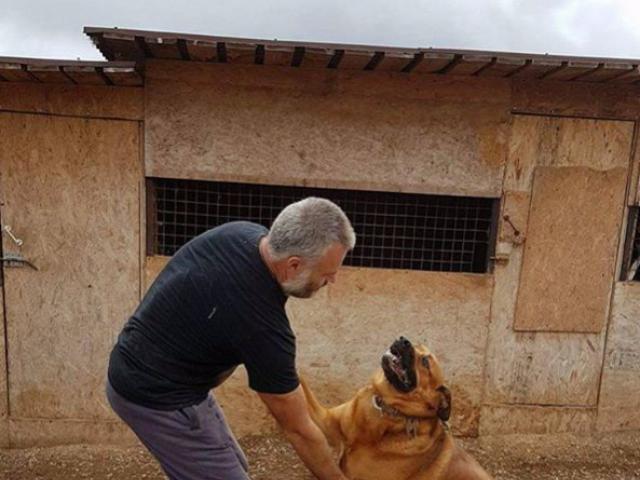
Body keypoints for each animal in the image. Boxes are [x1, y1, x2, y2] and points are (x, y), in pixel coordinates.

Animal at [302, 338, 492, 480]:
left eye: (425, 361)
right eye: (415, 344)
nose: (402, 339)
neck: (384, 406)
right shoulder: (325, 421)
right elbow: (303, 385)